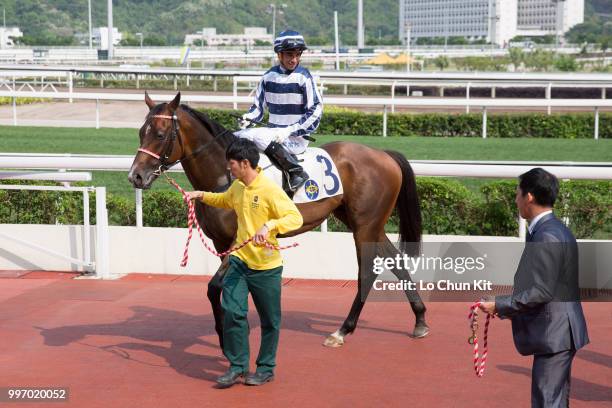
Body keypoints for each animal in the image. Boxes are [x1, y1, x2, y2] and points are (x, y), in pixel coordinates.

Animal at [126, 91, 428, 348]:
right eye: (141, 132)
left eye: (161, 134)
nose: (136, 176)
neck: (226, 175)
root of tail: (384, 154)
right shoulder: (221, 242)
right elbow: (229, 288)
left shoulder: (239, 241)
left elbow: (214, 288)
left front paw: (225, 336)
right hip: (364, 221)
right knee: (395, 261)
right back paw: (420, 319)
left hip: (365, 224)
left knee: (367, 270)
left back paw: (343, 330)